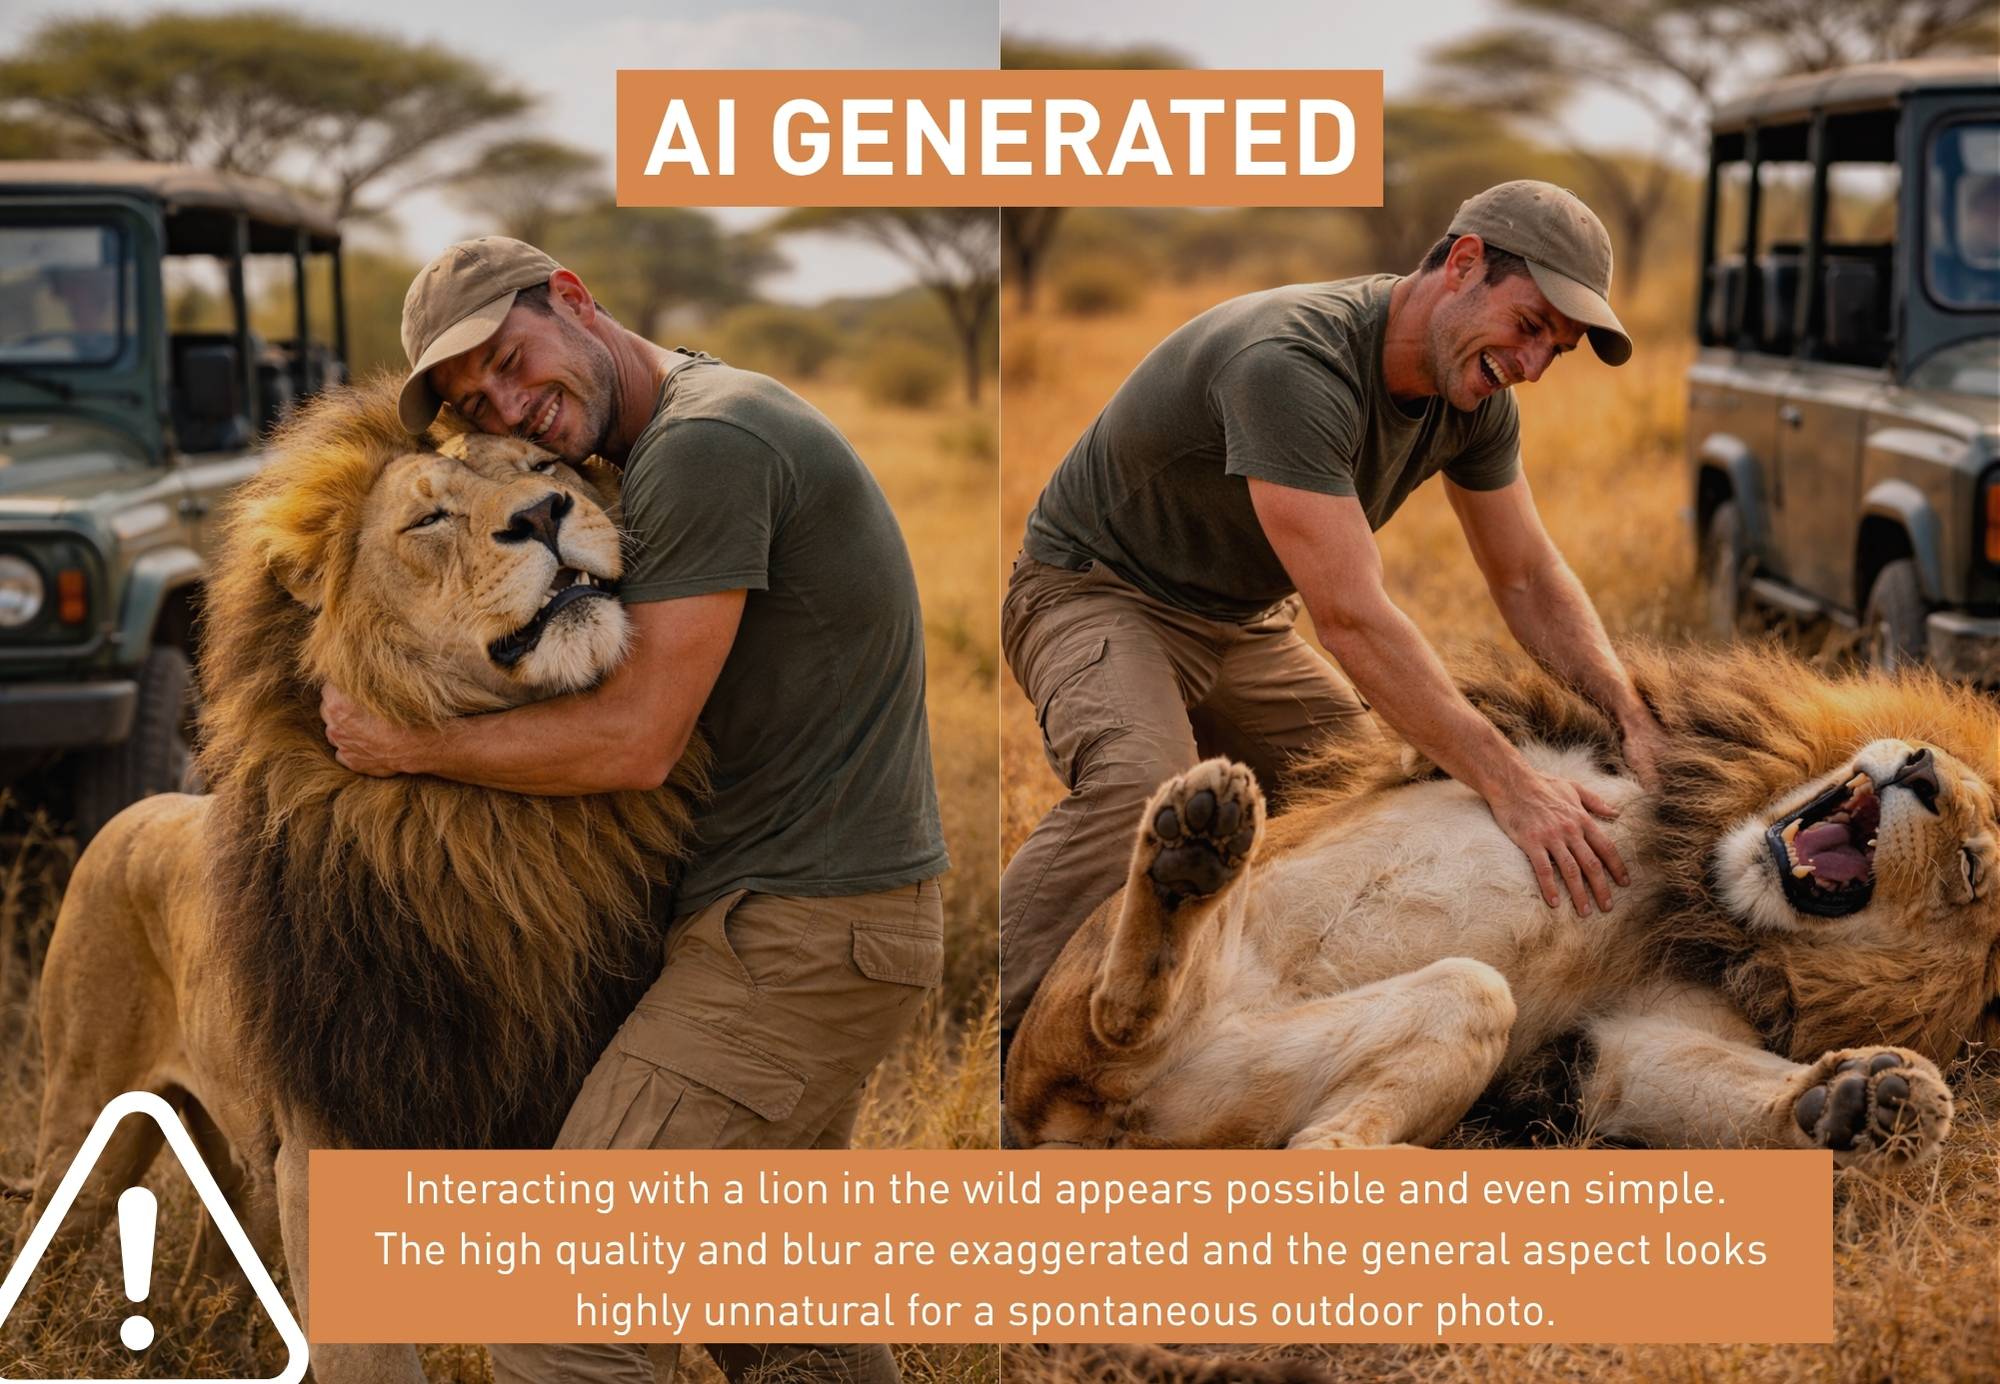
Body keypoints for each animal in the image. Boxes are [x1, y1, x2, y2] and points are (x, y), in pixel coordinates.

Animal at [12, 379, 703, 1381]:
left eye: (545, 465)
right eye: (429, 518)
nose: (544, 514)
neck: (496, 837)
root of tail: (139, 810)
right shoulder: (332, 1143)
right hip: (87, 1110)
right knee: (48, 1244)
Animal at [1007, 643, 2000, 1164]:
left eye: (1970, 868)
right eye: (1960, 781)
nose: (1919, 769)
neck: (1699, 892)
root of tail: (1075, 1132)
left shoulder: (1641, 1029)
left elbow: (1686, 1075)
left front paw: (1868, 1100)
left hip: (1413, 1017)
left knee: (1309, 1146)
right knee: (1117, 1010)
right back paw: (1195, 845)